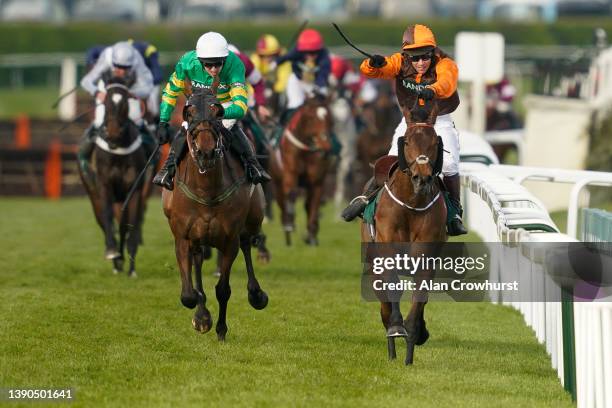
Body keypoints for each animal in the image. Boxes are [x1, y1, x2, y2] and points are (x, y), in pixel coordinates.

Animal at [77, 78, 149, 276]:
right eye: (106, 103)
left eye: (125, 103)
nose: (113, 133)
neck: (118, 152)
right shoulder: (104, 186)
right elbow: (108, 217)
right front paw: (112, 251)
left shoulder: (135, 188)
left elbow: (130, 223)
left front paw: (131, 267)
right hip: (94, 194)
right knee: (103, 219)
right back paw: (116, 259)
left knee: (124, 223)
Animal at [161, 79, 268, 342]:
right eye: (189, 112)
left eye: (217, 112)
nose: (206, 152)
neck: (206, 191)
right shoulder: (183, 237)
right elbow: (189, 294)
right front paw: (202, 318)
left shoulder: (229, 240)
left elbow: (223, 290)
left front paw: (221, 329)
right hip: (199, 238)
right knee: (198, 260)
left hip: (252, 220)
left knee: (248, 244)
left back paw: (256, 294)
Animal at [268, 95, 332, 245]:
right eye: (311, 118)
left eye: (329, 117)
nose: (326, 146)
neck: (305, 150)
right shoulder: (290, 175)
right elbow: (291, 194)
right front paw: (290, 224)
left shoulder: (317, 181)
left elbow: (314, 203)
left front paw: (312, 236)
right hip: (277, 184)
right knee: (282, 203)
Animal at [360, 100, 448, 364]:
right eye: (407, 141)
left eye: (434, 142)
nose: (422, 178)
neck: (412, 203)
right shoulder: (386, 250)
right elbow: (392, 290)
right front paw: (396, 327)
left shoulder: (426, 255)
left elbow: (419, 297)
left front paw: (414, 335)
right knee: (383, 299)